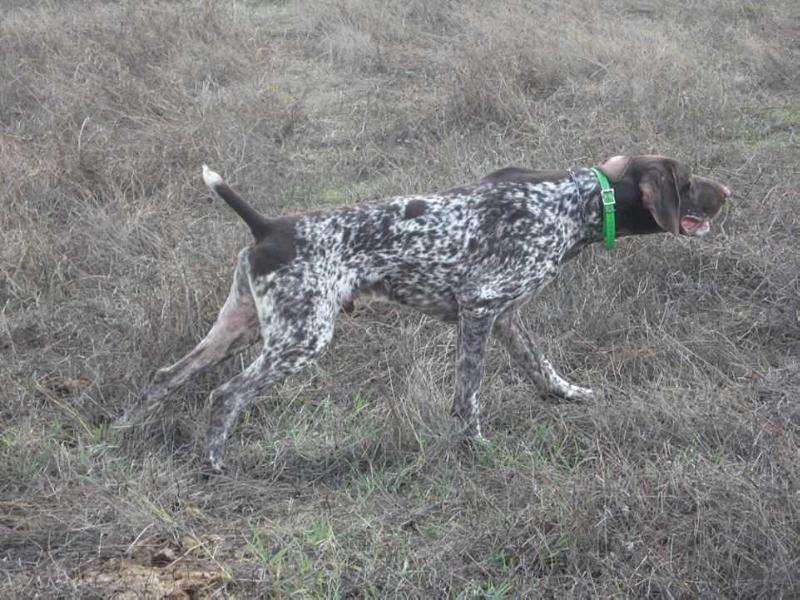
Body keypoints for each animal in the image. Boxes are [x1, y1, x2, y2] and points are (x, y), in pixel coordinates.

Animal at [115, 155, 728, 474]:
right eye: (688, 182)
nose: (728, 191)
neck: (574, 203)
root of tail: (268, 227)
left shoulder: (508, 317)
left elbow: (542, 366)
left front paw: (568, 395)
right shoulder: (480, 309)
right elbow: (469, 396)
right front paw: (476, 447)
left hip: (238, 328)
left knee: (165, 377)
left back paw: (121, 433)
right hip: (301, 339)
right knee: (226, 394)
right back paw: (215, 462)